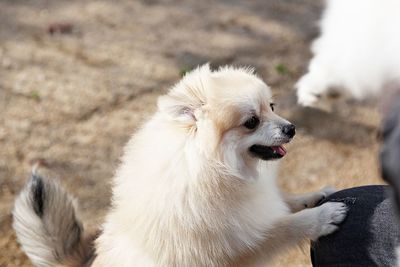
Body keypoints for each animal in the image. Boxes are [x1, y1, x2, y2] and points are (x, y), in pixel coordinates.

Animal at [14, 65, 346, 267]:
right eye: (252, 122)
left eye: (272, 107)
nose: (291, 128)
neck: (217, 168)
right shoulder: (239, 243)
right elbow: (286, 227)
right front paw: (324, 215)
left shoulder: (257, 208)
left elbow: (287, 202)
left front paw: (317, 195)